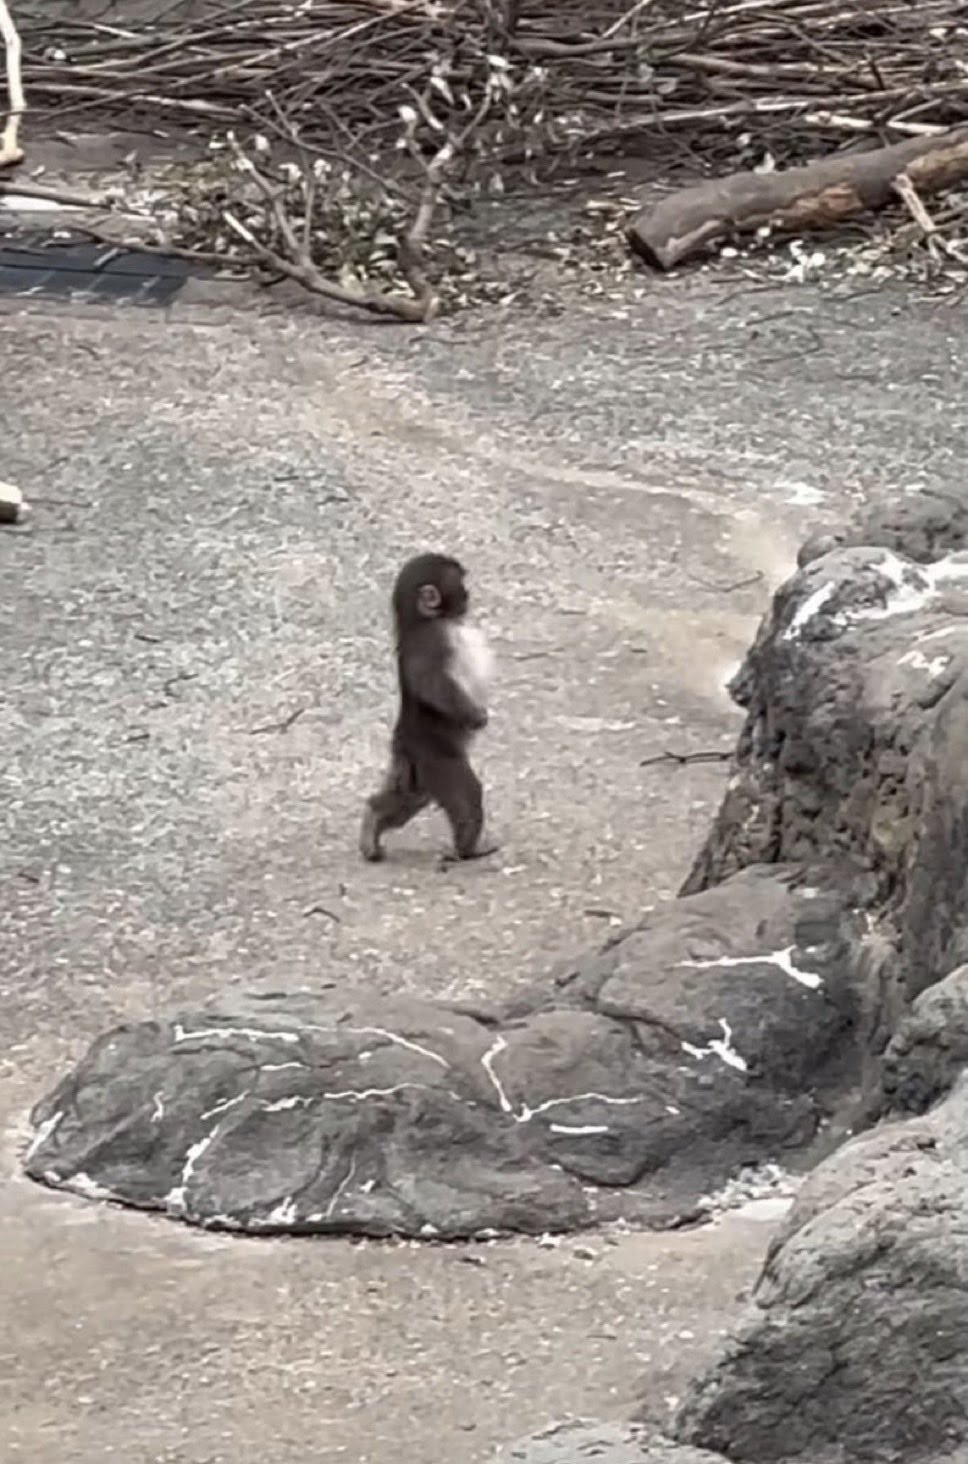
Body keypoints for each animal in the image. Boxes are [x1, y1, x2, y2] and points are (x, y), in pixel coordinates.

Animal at [359, 552, 498, 865]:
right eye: (460, 584)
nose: (469, 594)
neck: (421, 620)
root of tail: (402, 742)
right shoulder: (430, 639)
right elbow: (432, 681)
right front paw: (476, 716)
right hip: (434, 755)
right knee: (465, 796)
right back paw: (467, 850)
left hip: (415, 771)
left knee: (408, 800)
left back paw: (373, 819)